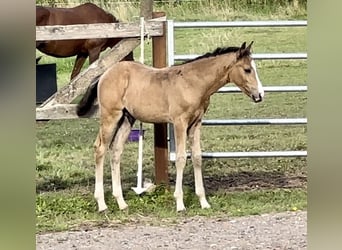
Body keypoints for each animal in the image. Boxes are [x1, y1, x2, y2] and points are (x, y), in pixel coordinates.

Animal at [77, 41, 264, 213]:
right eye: (247, 69)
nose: (260, 95)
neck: (192, 83)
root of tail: (104, 74)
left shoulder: (196, 123)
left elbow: (197, 157)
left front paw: (204, 202)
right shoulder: (180, 122)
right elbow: (181, 158)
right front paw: (180, 204)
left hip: (127, 119)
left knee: (116, 151)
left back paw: (121, 203)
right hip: (111, 116)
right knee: (100, 148)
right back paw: (102, 204)